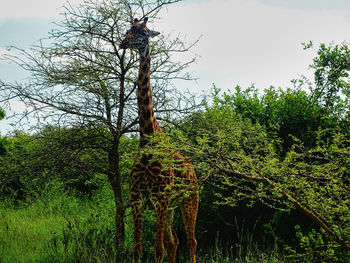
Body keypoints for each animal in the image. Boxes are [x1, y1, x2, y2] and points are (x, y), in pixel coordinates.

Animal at [119, 17, 198, 262]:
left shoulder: (161, 197)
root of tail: (194, 171)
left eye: (144, 32)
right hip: (171, 208)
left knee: (191, 241)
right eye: (128, 30)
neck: (147, 138)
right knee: (175, 241)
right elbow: (137, 248)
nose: (123, 43)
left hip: (189, 200)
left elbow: (157, 249)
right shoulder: (138, 198)